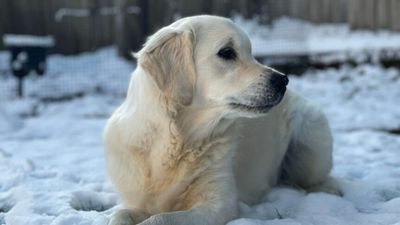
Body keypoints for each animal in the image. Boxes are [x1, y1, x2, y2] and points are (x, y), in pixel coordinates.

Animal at [104, 14, 340, 224]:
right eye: (227, 52)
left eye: (250, 52)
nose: (283, 80)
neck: (176, 140)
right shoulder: (135, 202)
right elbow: (120, 216)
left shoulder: (219, 204)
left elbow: (159, 219)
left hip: (310, 134)